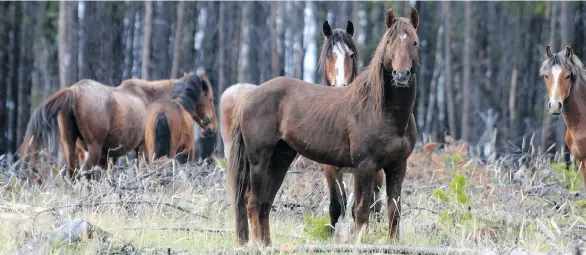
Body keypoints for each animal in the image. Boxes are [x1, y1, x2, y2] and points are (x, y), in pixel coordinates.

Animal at [20, 72, 218, 182]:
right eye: (210, 98)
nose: (212, 127)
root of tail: (73, 91)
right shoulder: (143, 149)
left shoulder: (110, 156)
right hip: (92, 149)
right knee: (84, 173)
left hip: (70, 147)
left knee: (73, 174)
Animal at [227, 7, 420, 246]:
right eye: (389, 42)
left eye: (414, 42)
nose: (401, 75)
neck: (383, 111)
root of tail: (248, 96)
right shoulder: (364, 166)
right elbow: (360, 211)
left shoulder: (397, 166)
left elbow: (394, 211)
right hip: (259, 161)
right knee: (252, 201)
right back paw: (258, 246)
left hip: (280, 159)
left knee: (264, 203)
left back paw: (269, 245)